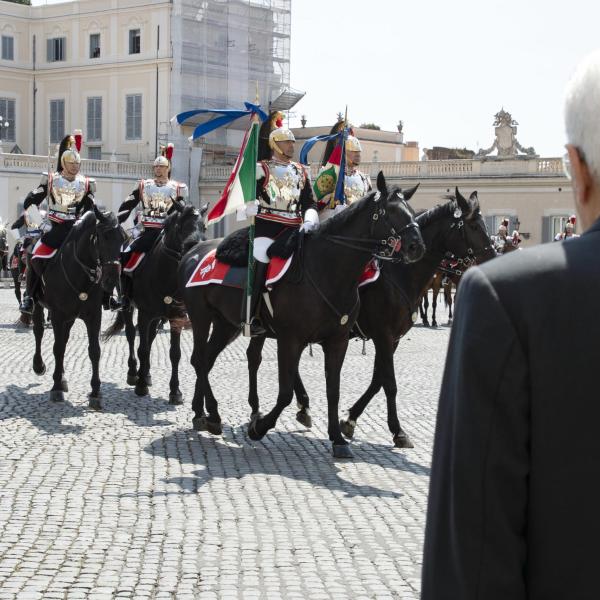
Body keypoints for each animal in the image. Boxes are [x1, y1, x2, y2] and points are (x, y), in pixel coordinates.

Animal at [31, 209, 125, 410]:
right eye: (103, 237)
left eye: (122, 238)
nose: (112, 279)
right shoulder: (57, 315)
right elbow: (57, 348)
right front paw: (56, 388)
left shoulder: (93, 316)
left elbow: (94, 351)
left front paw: (95, 392)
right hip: (39, 306)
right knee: (39, 331)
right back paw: (39, 366)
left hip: (71, 318)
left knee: (64, 339)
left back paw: (63, 377)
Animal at [103, 204, 206, 406]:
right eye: (181, 227)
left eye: (204, 227)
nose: (195, 250)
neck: (165, 275)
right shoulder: (145, 314)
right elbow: (142, 349)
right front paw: (141, 385)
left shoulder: (176, 318)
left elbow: (175, 354)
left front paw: (175, 391)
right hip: (129, 307)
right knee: (131, 335)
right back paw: (134, 373)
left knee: (149, 338)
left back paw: (147, 373)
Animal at [179, 171, 426, 458]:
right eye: (390, 212)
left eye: (412, 212)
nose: (417, 247)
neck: (327, 270)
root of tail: (194, 250)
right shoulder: (292, 339)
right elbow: (286, 392)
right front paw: (259, 428)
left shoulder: (339, 341)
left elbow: (335, 390)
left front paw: (338, 438)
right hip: (201, 317)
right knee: (200, 360)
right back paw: (212, 414)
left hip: (226, 324)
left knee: (208, 360)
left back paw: (210, 415)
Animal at [246, 190, 494, 448]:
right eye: (474, 226)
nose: (494, 256)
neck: (400, 274)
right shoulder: (383, 335)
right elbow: (389, 383)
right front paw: (397, 430)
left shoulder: (392, 339)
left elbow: (378, 380)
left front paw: (350, 420)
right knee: (256, 358)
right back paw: (259, 410)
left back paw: (302, 407)